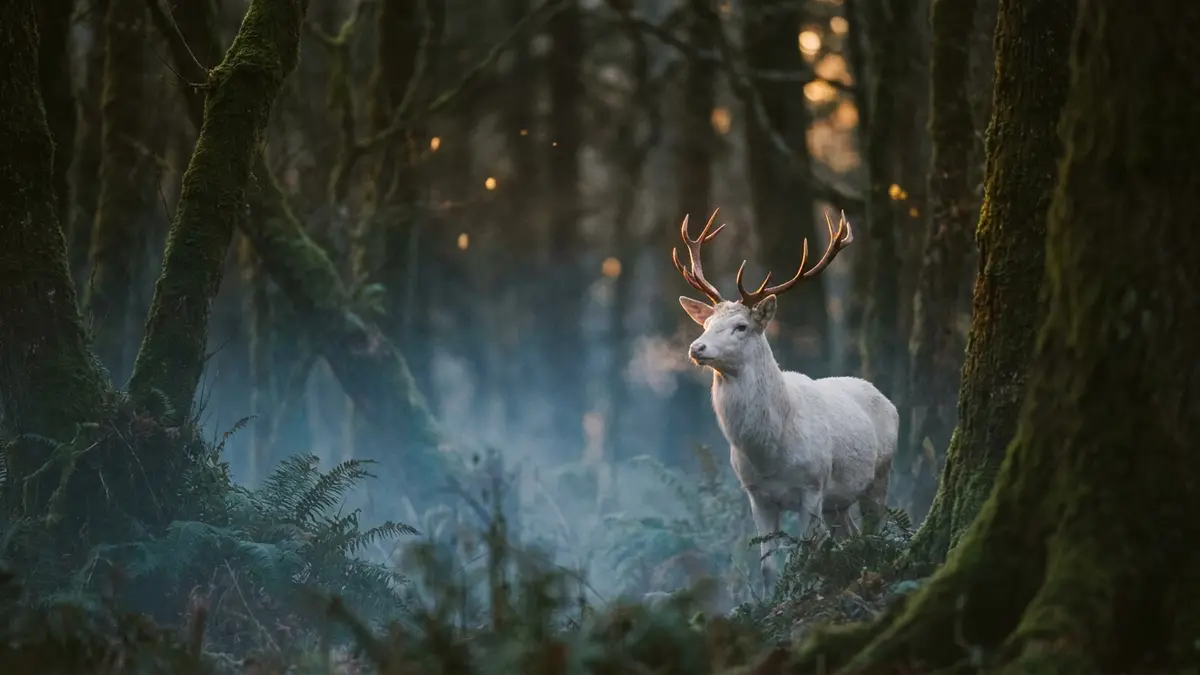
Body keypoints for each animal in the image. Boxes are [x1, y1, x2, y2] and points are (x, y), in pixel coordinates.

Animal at [672, 209, 898, 591]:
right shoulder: (756, 495)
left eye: (741, 327)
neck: (770, 452)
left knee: (873, 528)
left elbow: (806, 557)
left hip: (880, 474)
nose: (696, 347)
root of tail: (884, 396)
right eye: (707, 323)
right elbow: (768, 566)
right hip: (838, 501)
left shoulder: (812, 486)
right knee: (850, 533)